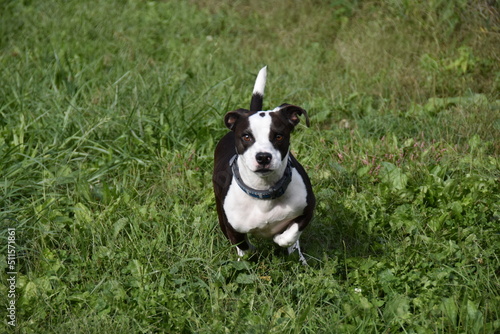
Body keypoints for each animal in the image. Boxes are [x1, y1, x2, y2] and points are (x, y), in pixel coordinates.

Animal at [212, 66, 314, 264]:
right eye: (246, 137)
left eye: (279, 136)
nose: (263, 157)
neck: (264, 190)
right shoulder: (231, 225)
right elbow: (243, 246)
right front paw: (249, 252)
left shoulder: (307, 207)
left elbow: (292, 233)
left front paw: (282, 239)